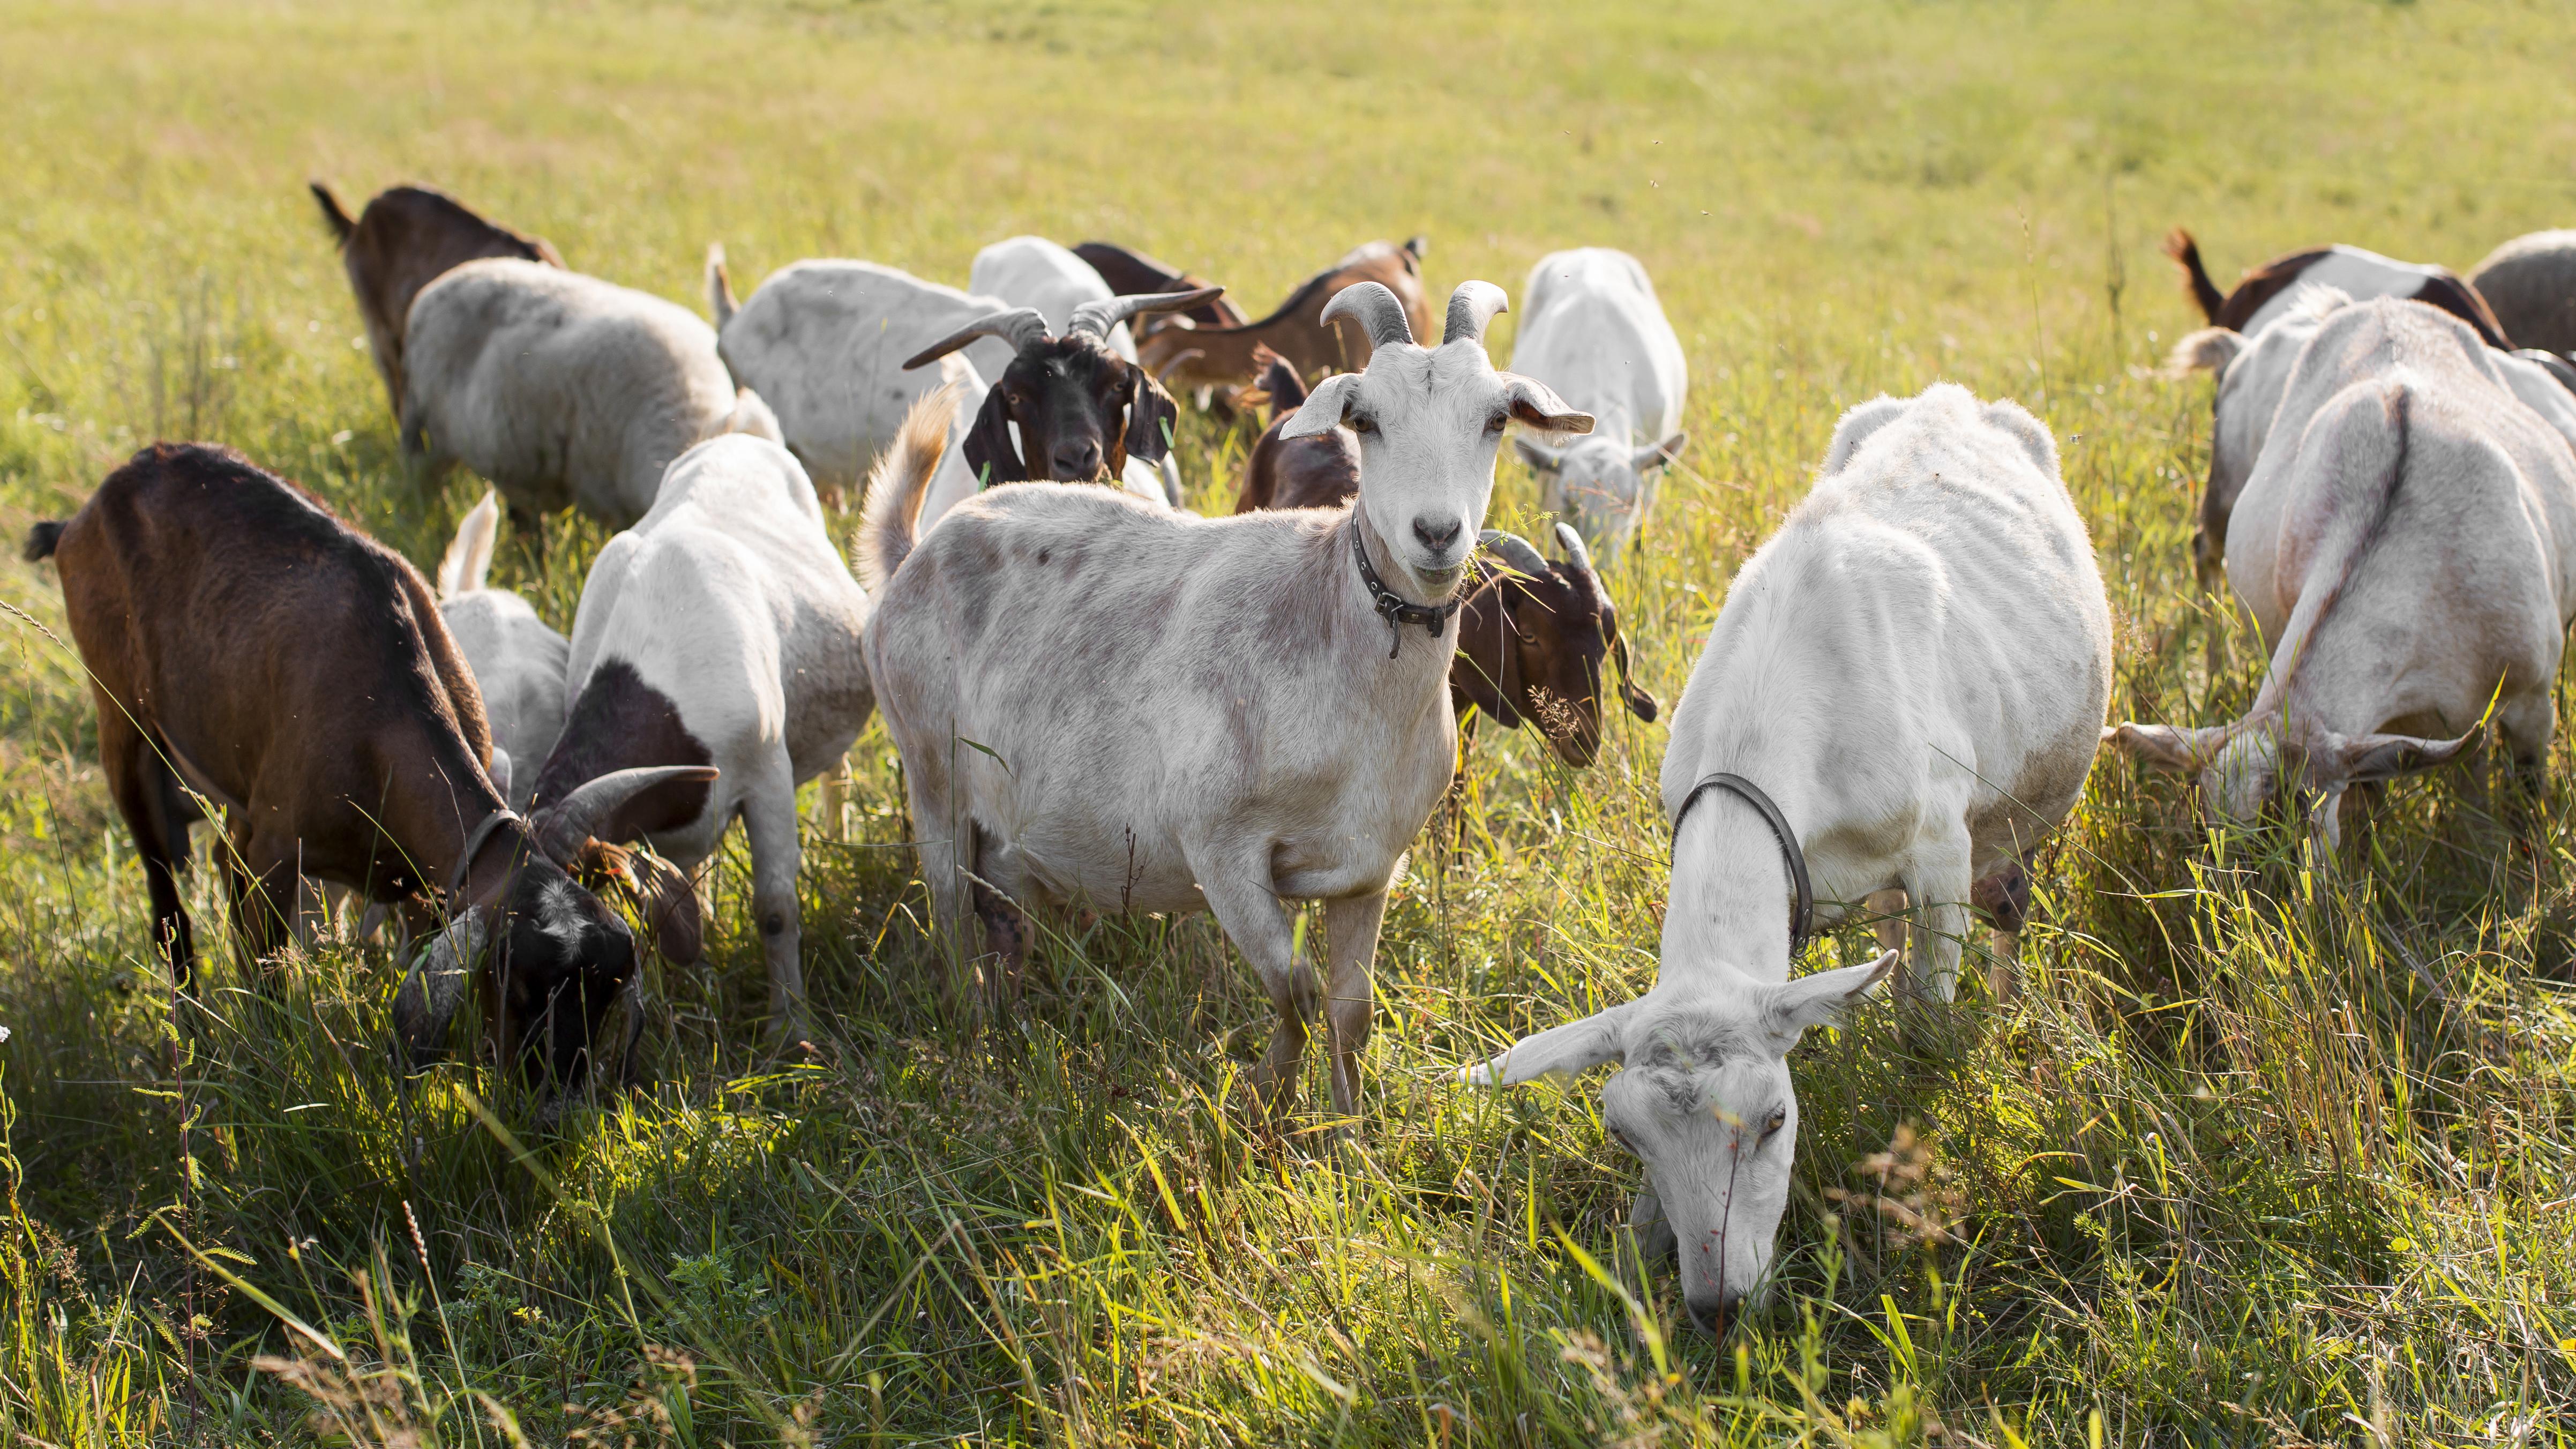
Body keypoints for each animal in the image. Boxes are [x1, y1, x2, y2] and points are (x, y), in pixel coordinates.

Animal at [532, 432, 874, 1042]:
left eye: (581, 950)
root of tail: (737, 437)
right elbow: (675, 904)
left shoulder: (768, 776)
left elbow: (775, 910)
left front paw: (790, 1028)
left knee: (837, 771)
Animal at [861, 280, 1592, 1119]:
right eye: (1365, 419)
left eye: (1496, 418)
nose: (1437, 533)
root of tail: (915, 553)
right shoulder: (1222, 850)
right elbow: (1296, 993)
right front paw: (1266, 1104)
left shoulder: (1370, 867)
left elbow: (1352, 1012)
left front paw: (1347, 1131)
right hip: (931, 774)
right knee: (950, 915)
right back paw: (971, 1043)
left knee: (1002, 921)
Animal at [1467, 384, 2112, 1332]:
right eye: (1625, 1134)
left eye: (1775, 1120)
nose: (1719, 1307)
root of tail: (1946, 397)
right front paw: (1635, 1257)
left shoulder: (1940, 855)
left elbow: (1925, 1032)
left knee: (2009, 909)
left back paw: (2008, 1006)